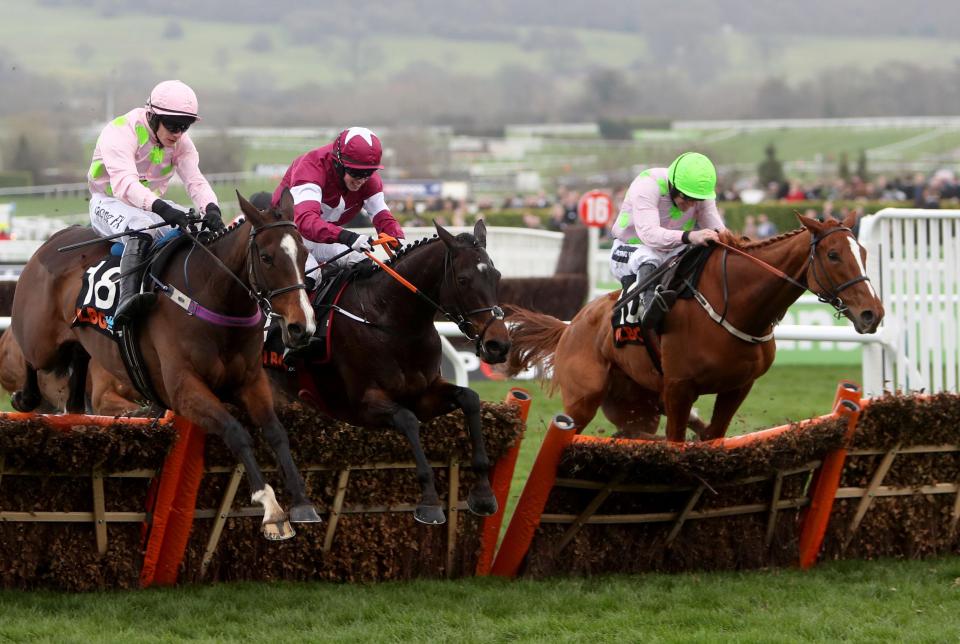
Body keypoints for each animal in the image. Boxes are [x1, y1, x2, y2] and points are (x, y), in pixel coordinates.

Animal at [10, 190, 322, 540]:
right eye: (267, 257)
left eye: (304, 253)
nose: (302, 327)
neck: (212, 296)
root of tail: (52, 240)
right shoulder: (183, 389)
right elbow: (236, 431)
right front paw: (271, 508)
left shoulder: (250, 381)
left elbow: (276, 431)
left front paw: (301, 501)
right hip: (42, 343)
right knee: (30, 357)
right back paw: (25, 398)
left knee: (79, 357)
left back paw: (75, 408)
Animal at [274, 219, 512, 524]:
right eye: (463, 280)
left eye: (496, 275)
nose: (498, 345)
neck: (391, 321)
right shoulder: (362, 405)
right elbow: (407, 420)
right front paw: (430, 502)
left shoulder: (425, 395)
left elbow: (470, 398)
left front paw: (483, 492)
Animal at [510, 211, 884, 442]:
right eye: (833, 255)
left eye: (864, 253)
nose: (872, 313)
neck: (736, 305)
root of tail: (570, 327)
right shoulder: (678, 387)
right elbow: (676, 441)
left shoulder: (738, 387)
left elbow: (711, 435)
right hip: (583, 399)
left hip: (637, 405)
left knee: (634, 432)